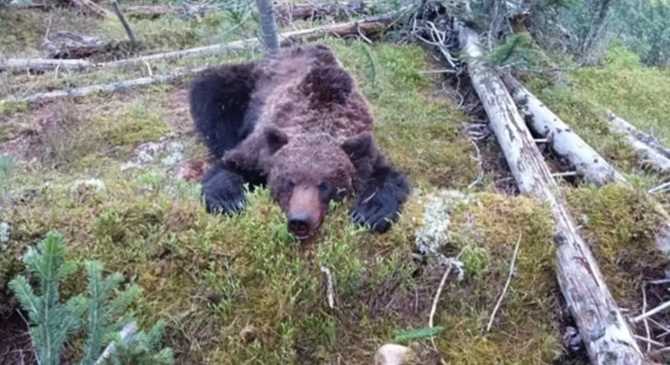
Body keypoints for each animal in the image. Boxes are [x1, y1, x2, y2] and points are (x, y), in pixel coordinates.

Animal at [189, 43, 410, 239]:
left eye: (325, 185)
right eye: (289, 181)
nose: (300, 221)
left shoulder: (365, 147)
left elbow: (388, 177)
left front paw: (370, 214)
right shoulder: (261, 147)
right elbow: (230, 165)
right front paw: (229, 201)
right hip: (246, 84)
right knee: (212, 91)